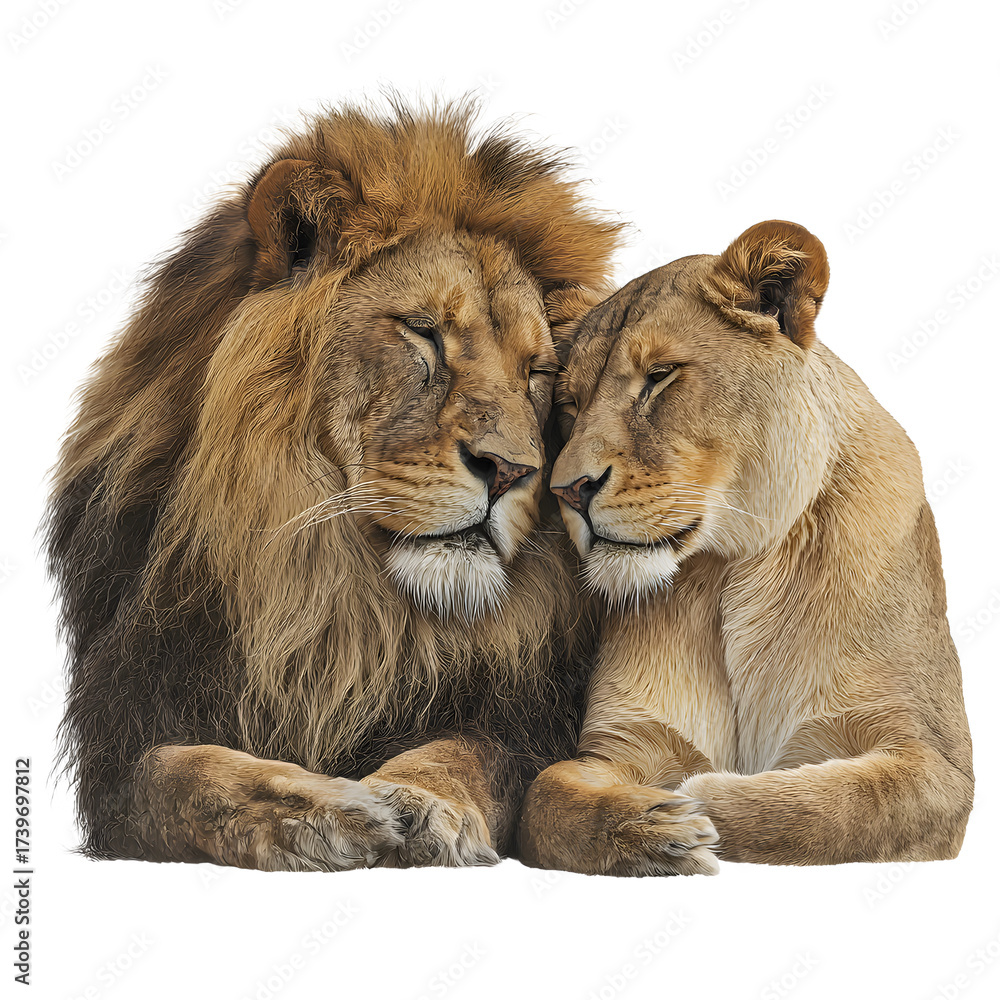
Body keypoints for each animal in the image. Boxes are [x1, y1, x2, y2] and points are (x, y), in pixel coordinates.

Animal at [45, 100, 621, 870]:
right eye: (423, 332)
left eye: (539, 371)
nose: (513, 471)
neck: (336, 599)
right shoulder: (126, 730)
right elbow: (177, 778)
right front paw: (323, 809)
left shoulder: (529, 716)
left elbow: (466, 754)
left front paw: (419, 801)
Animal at [519, 220, 974, 875]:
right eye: (570, 404)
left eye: (660, 376)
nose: (567, 490)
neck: (729, 568)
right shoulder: (623, 740)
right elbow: (546, 797)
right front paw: (657, 829)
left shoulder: (934, 759)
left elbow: (829, 808)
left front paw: (702, 793)